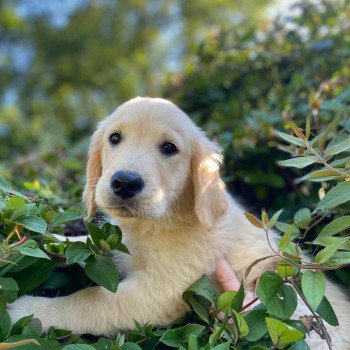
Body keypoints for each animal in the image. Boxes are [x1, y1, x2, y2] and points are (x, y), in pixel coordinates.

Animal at [8, 97, 350, 348]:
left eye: (169, 148)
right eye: (114, 138)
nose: (125, 182)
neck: (161, 219)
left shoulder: (161, 292)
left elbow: (90, 301)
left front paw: (28, 310)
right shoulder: (121, 247)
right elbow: (87, 245)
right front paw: (52, 239)